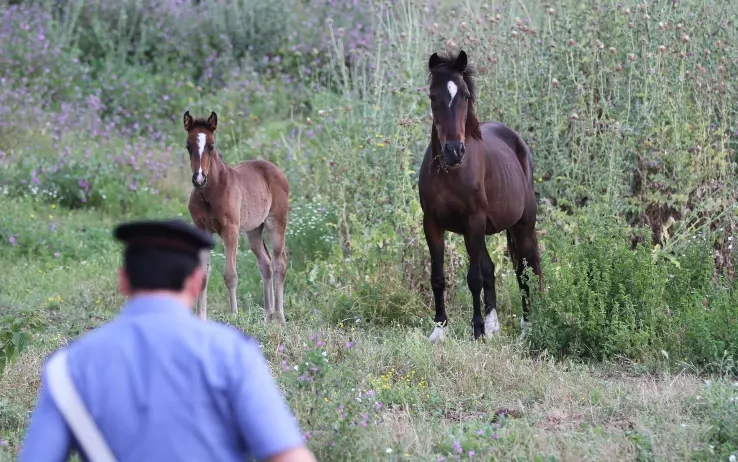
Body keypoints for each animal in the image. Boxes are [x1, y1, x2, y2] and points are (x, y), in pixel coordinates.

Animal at [182, 111, 290, 325]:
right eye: (188, 146)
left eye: (211, 145)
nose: (199, 178)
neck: (210, 192)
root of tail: (275, 168)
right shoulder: (202, 228)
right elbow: (203, 274)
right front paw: (201, 317)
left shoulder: (230, 229)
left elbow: (230, 275)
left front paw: (234, 315)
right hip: (254, 229)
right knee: (265, 264)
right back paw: (268, 315)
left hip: (276, 222)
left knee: (279, 263)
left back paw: (280, 317)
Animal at [417, 50, 543, 343]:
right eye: (433, 96)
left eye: (465, 95)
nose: (453, 150)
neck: (451, 173)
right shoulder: (433, 224)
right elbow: (438, 277)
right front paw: (439, 330)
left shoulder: (473, 221)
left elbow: (474, 279)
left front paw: (476, 332)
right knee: (491, 268)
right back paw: (494, 325)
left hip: (521, 226)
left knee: (526, 270)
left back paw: (528, 327)